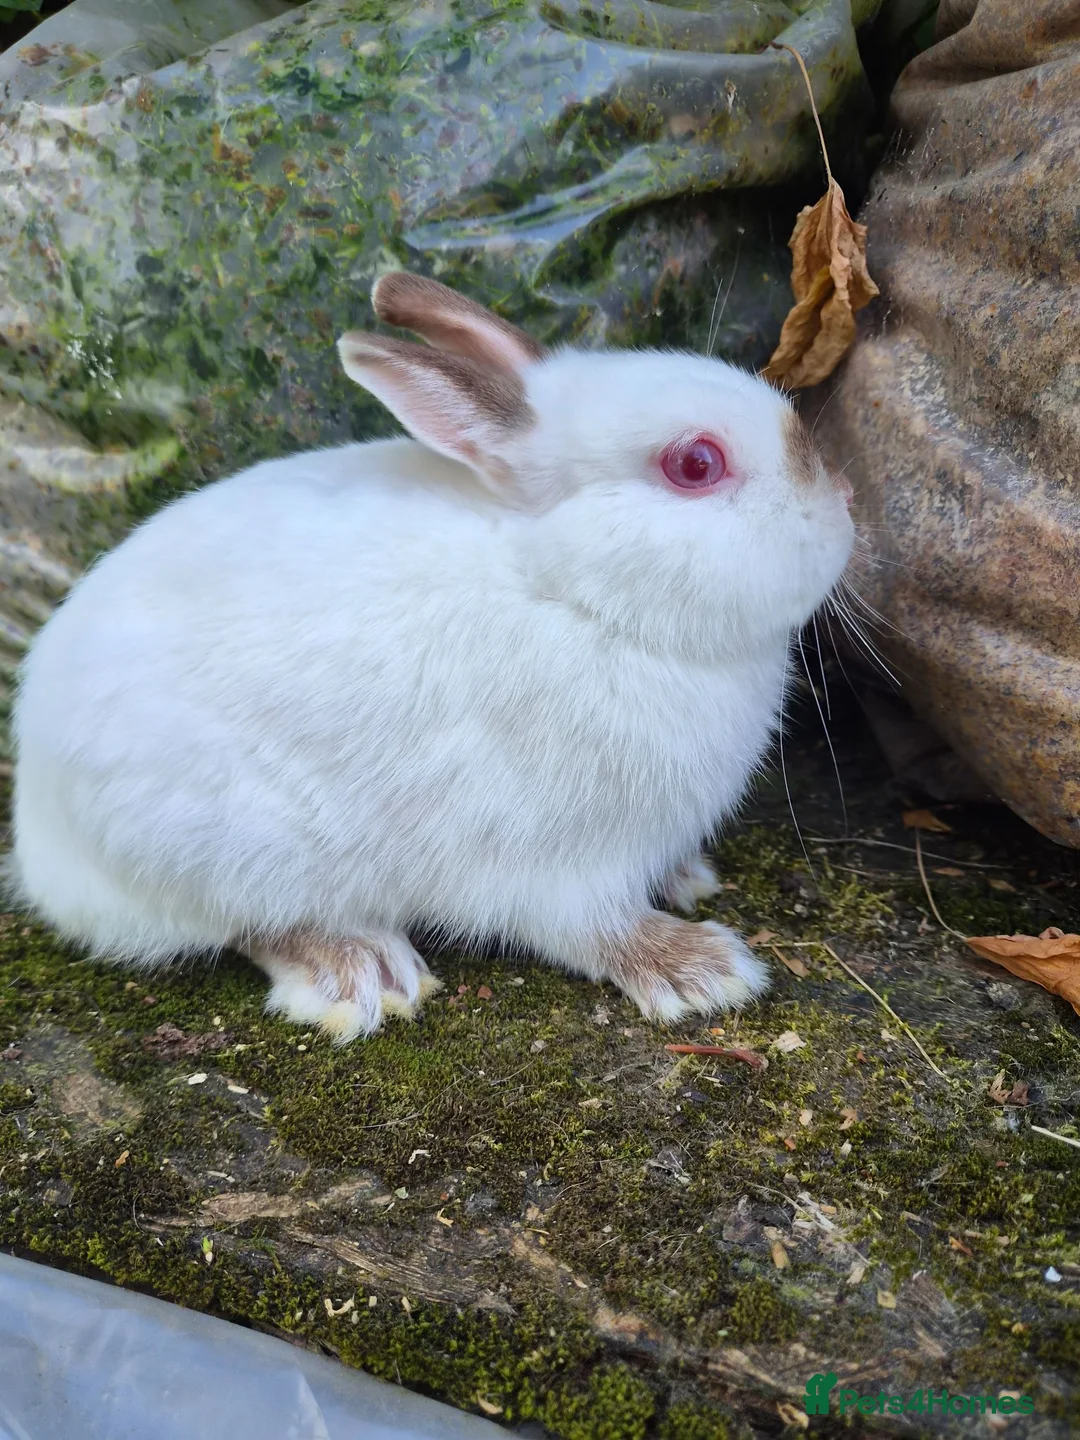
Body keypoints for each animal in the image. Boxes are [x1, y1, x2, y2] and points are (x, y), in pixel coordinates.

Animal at [8, 272, 855, 1043]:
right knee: (251, 925)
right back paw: (362, 972)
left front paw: (690, 879)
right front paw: (700, 970)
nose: (844, 512)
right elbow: (592, 928)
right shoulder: (557, 860)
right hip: (227, 853)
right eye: (696, 465)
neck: (568, 590)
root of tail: (40, 836)